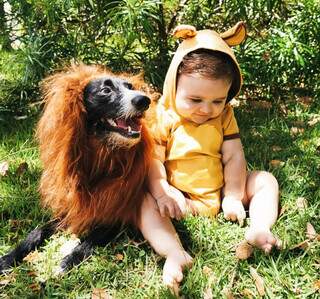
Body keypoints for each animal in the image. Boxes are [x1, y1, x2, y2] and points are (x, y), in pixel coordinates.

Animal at [0, 63, 155, 274]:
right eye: (105, 90)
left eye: (130, 87)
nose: (144, 100)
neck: (99, 157)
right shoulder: (68, 208)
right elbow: (37, 231)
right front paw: (9, 257)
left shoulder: (116, 213)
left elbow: (90, 239)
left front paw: (68, 260)